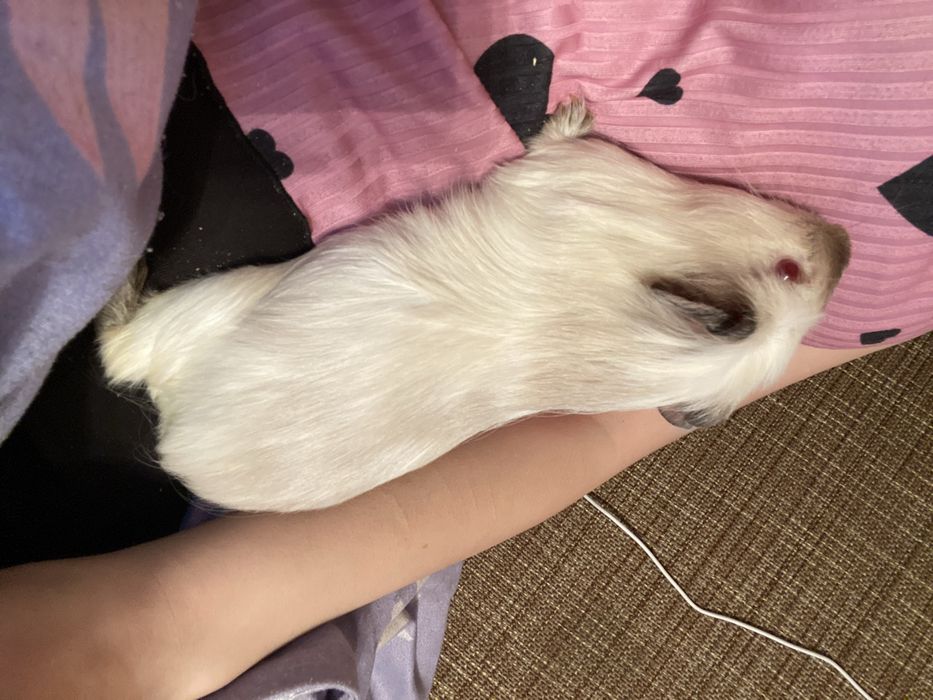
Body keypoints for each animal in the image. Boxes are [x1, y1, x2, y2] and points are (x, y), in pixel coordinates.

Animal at [98, 98, 850, 512]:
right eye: (789, 272)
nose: (846, 243)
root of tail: (176, 442)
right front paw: (579, 104)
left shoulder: (565, 172)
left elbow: (551, 142)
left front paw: (573, 107)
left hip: (210, 299)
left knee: (114, 349)